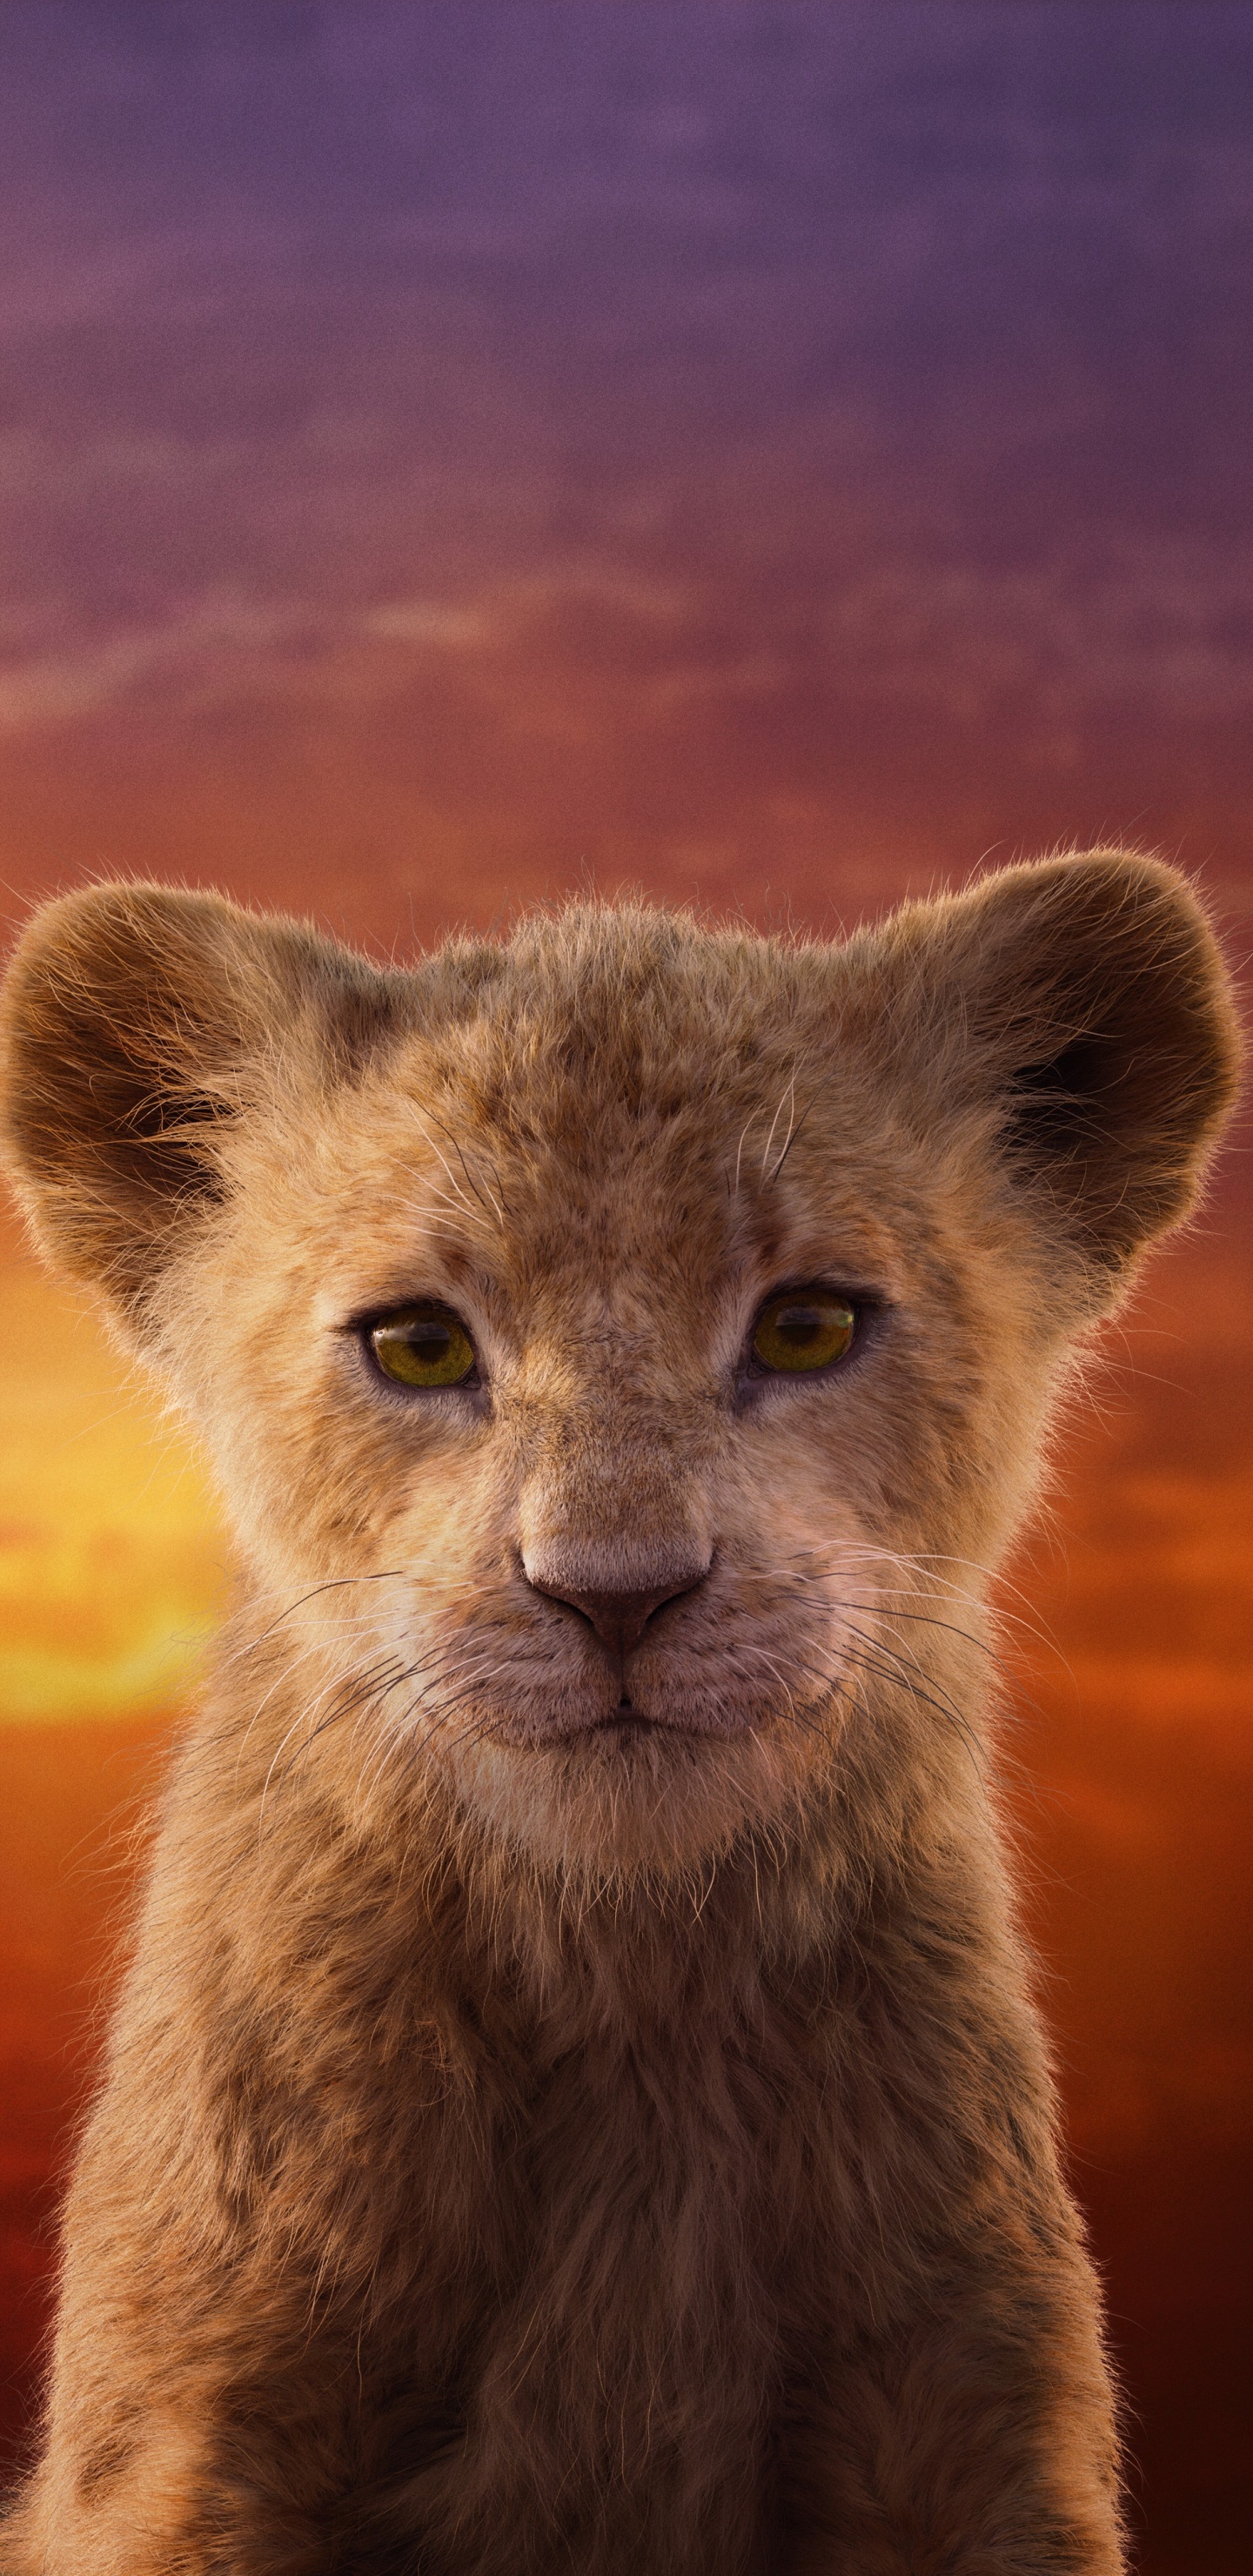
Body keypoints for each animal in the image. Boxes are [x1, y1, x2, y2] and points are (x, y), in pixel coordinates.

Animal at [0, 852, 1239, 2573]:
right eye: (418, 1344)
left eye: (806, 1325)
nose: (617, 1596)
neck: (624, 1971)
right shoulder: (190, 2447)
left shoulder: (972, 2439)